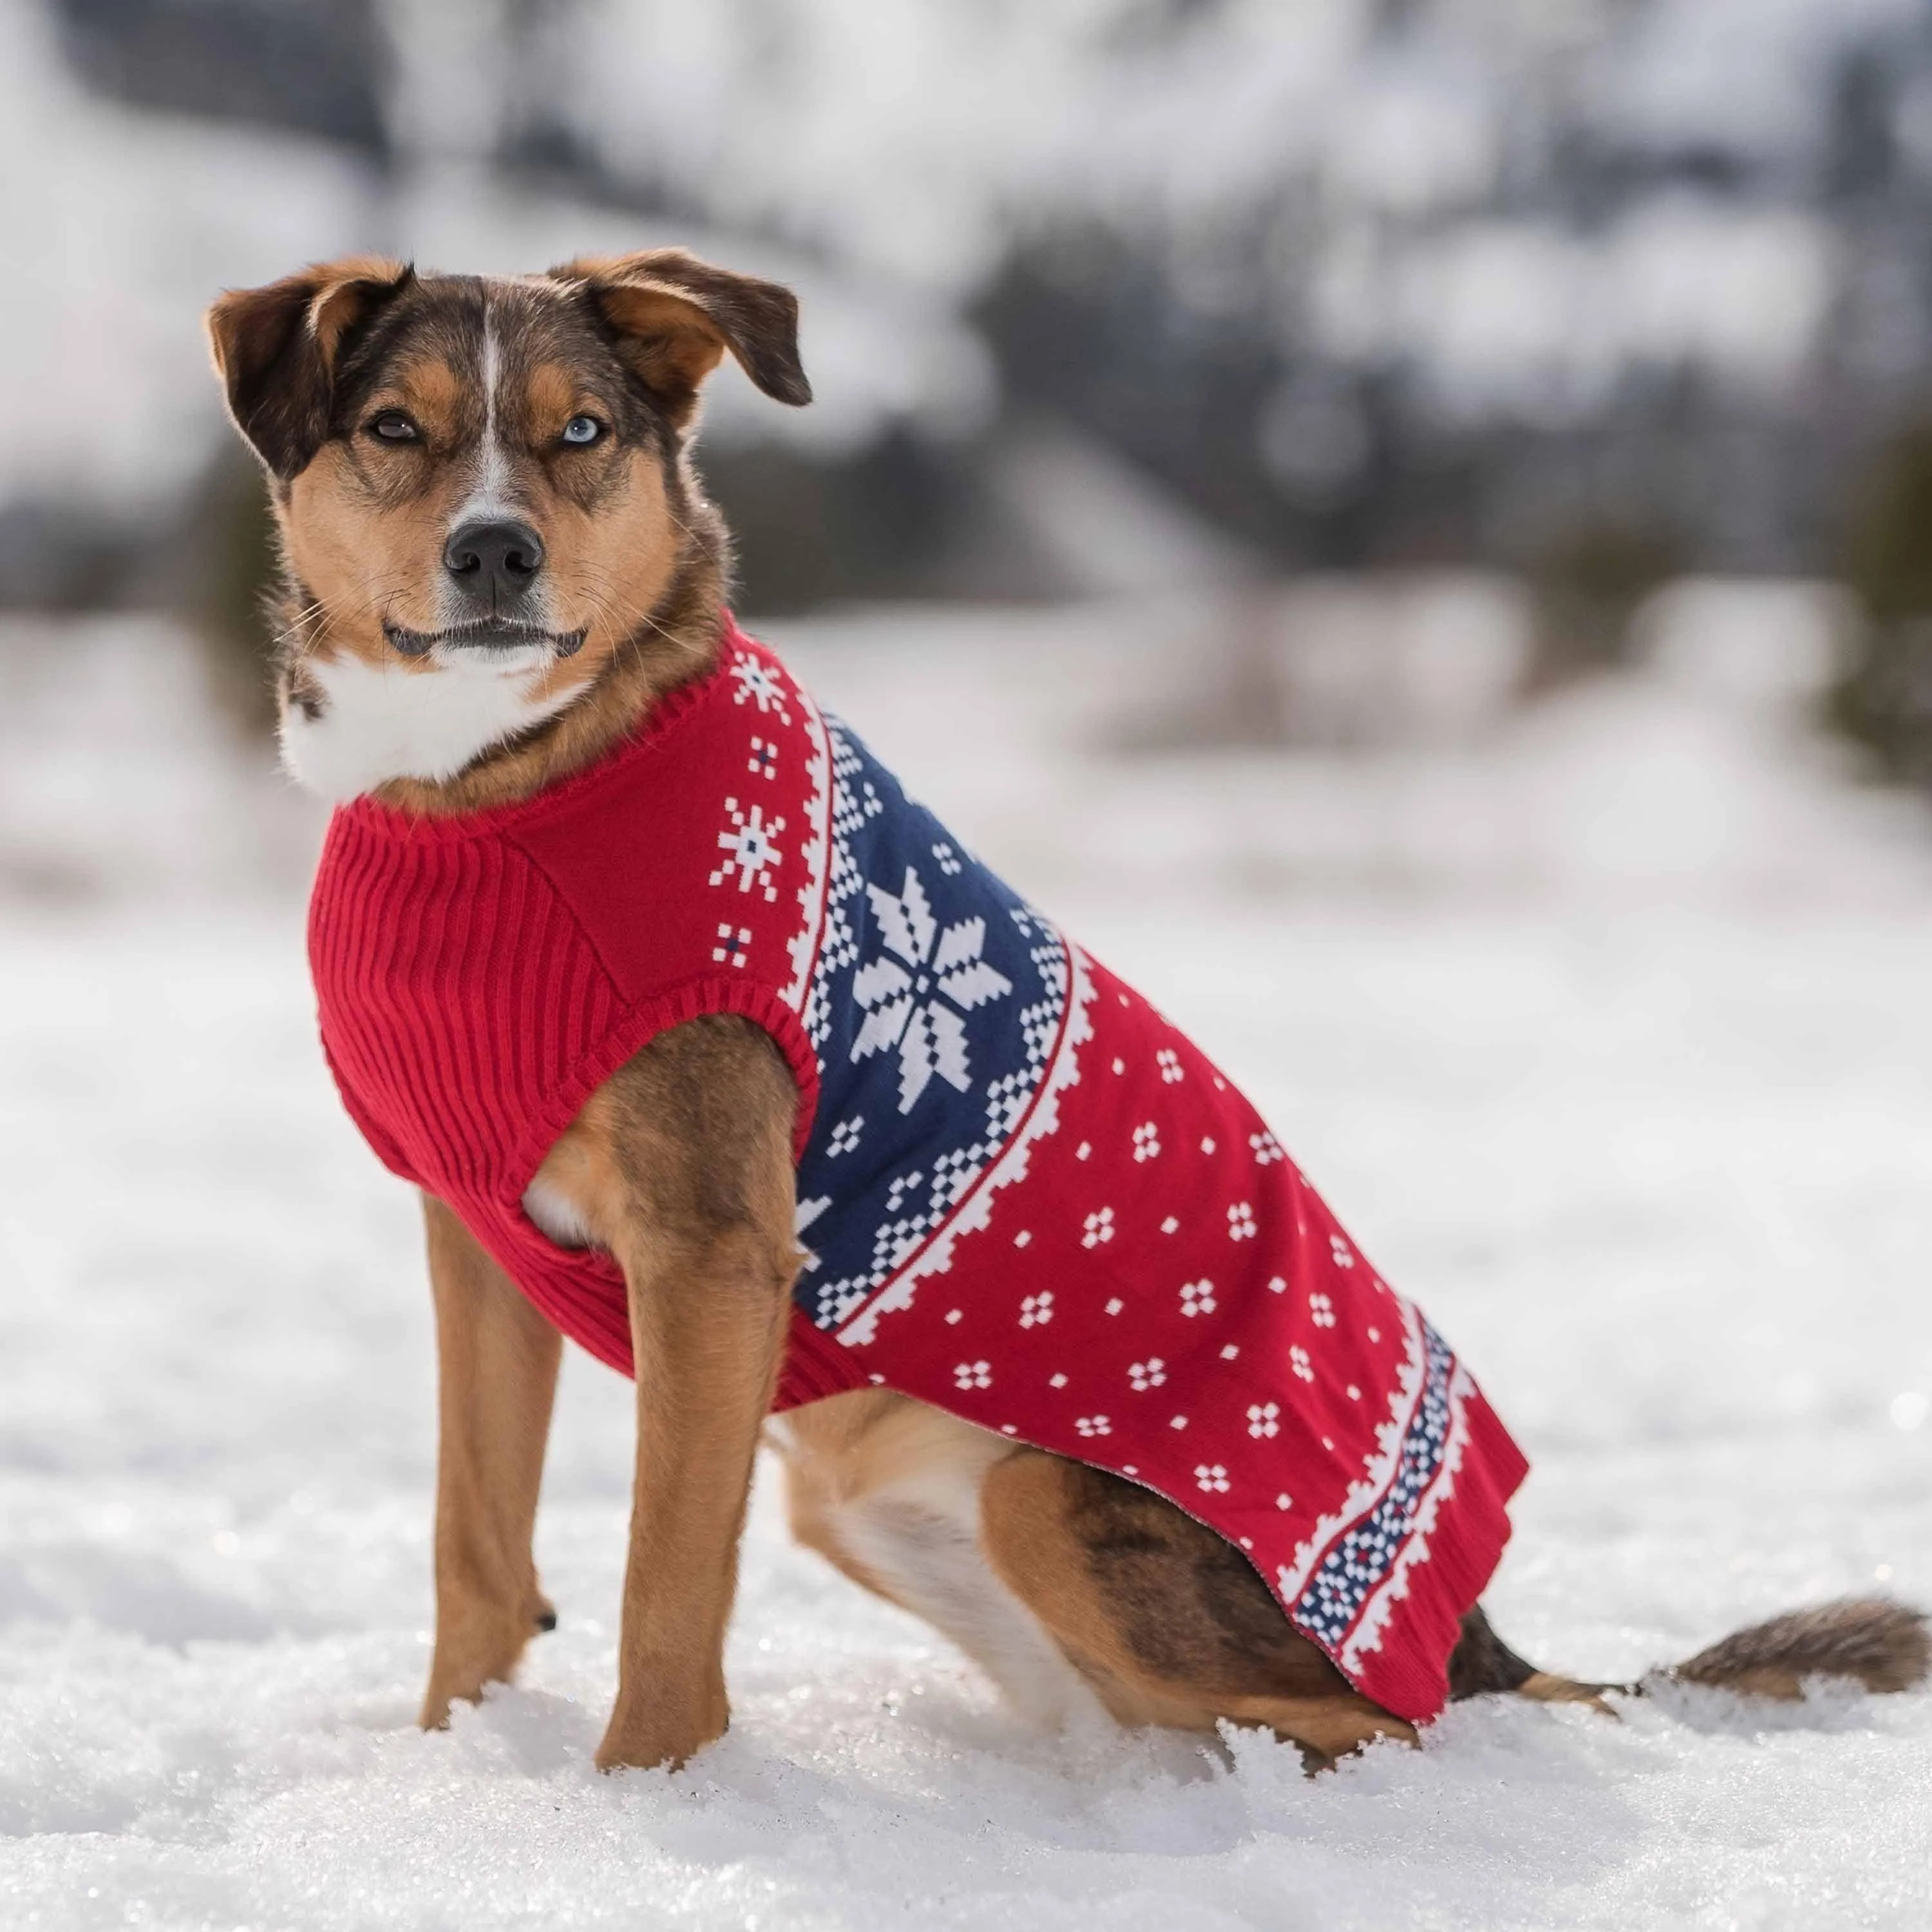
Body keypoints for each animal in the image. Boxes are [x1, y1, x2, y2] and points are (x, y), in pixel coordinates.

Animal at [204, 249, 1924, 1770]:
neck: (490, 787)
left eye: (580, 433)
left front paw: (638, 1800)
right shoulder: (474, 1232)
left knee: (1393, 1728)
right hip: (880, 1505)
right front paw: (455, 1764)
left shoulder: (709, 1253)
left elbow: (663, 1587)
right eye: (394, 428)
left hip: (1055, 1503)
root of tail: (1477, 1632)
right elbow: (476, 1545)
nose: (497, 554)